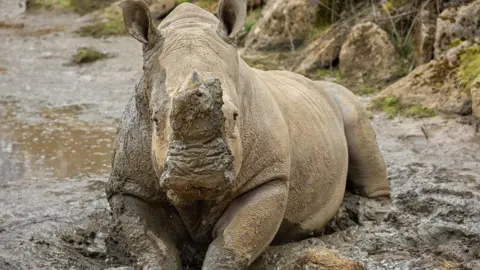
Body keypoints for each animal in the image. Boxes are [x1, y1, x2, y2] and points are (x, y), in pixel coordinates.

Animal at [106, 1, 390, 268]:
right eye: (155, 119)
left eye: (234, 116)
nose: (197, 172)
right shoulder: (130, 186)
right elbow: (153, 247)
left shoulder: (269, 177)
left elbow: (233, 243)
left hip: (339, 96)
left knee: (355, 119)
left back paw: (373, 214)